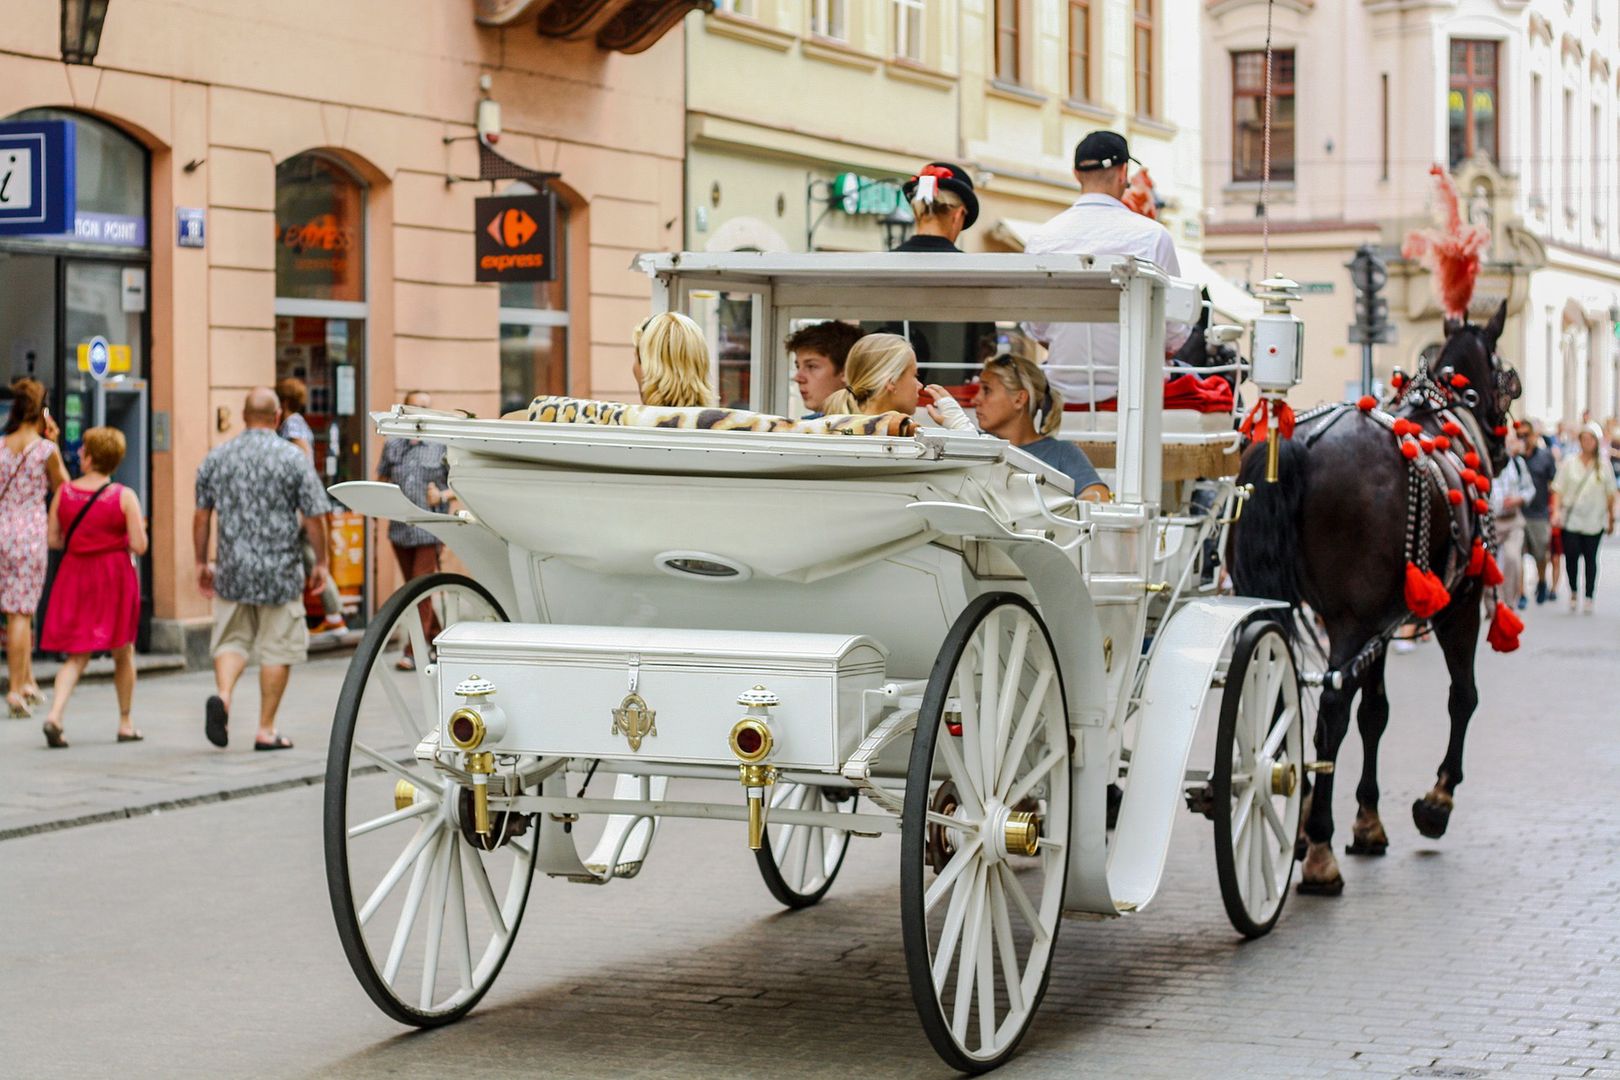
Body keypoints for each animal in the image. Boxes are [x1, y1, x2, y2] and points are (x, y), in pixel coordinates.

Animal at [1231, 302, 1522, 893]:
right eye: (1508, 379)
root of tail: (1297, 444)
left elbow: (1377, 712)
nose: (1505, 451)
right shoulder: (1458, 604)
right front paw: (1437, 800)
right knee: (1331, 712)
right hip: (1351, 621)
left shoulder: (1382, 620)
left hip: (1289, 606)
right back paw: (1318, 848)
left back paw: (1296, 816)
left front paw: (1366, 819)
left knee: (1278, 698)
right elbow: (1463, 697)